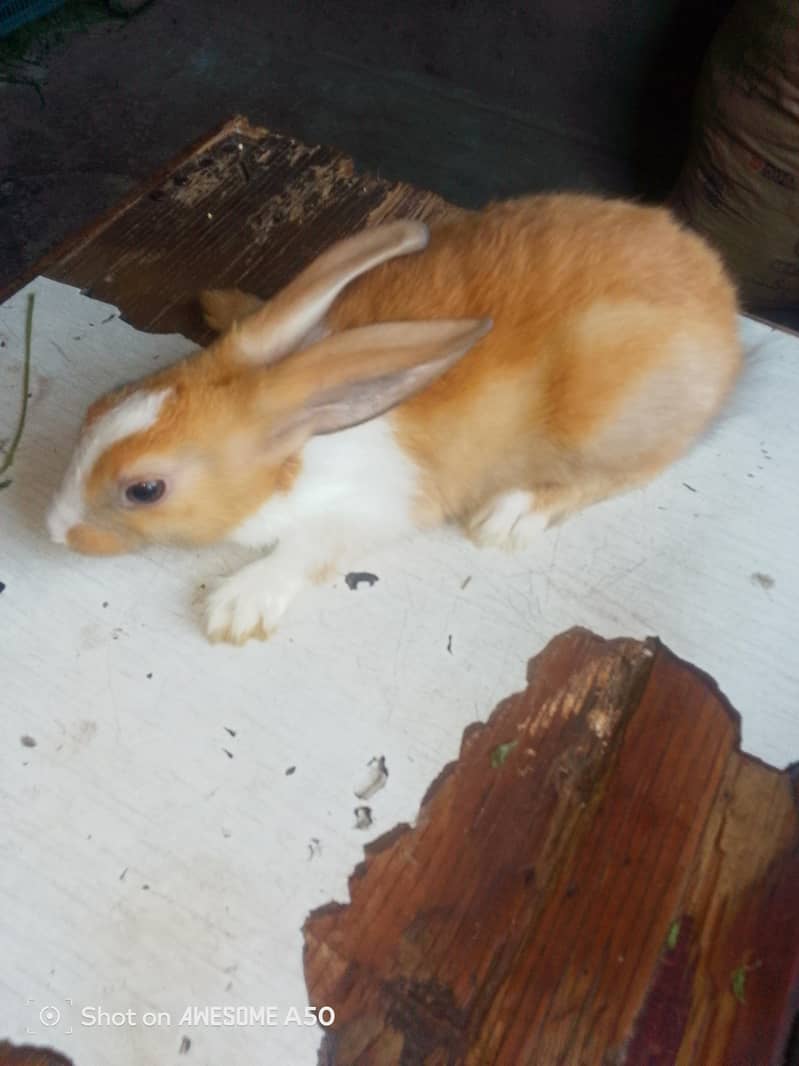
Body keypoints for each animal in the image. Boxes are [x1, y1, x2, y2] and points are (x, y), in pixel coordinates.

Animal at [46, 194, 741, 644]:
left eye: (145, 489)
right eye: (97, 405)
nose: (54, 529)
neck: (305, 434)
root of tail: (721, 303)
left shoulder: (370, 509)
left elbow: (309, 549)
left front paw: (236, 606)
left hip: (607, 416)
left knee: (626, 471)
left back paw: (508, 516)